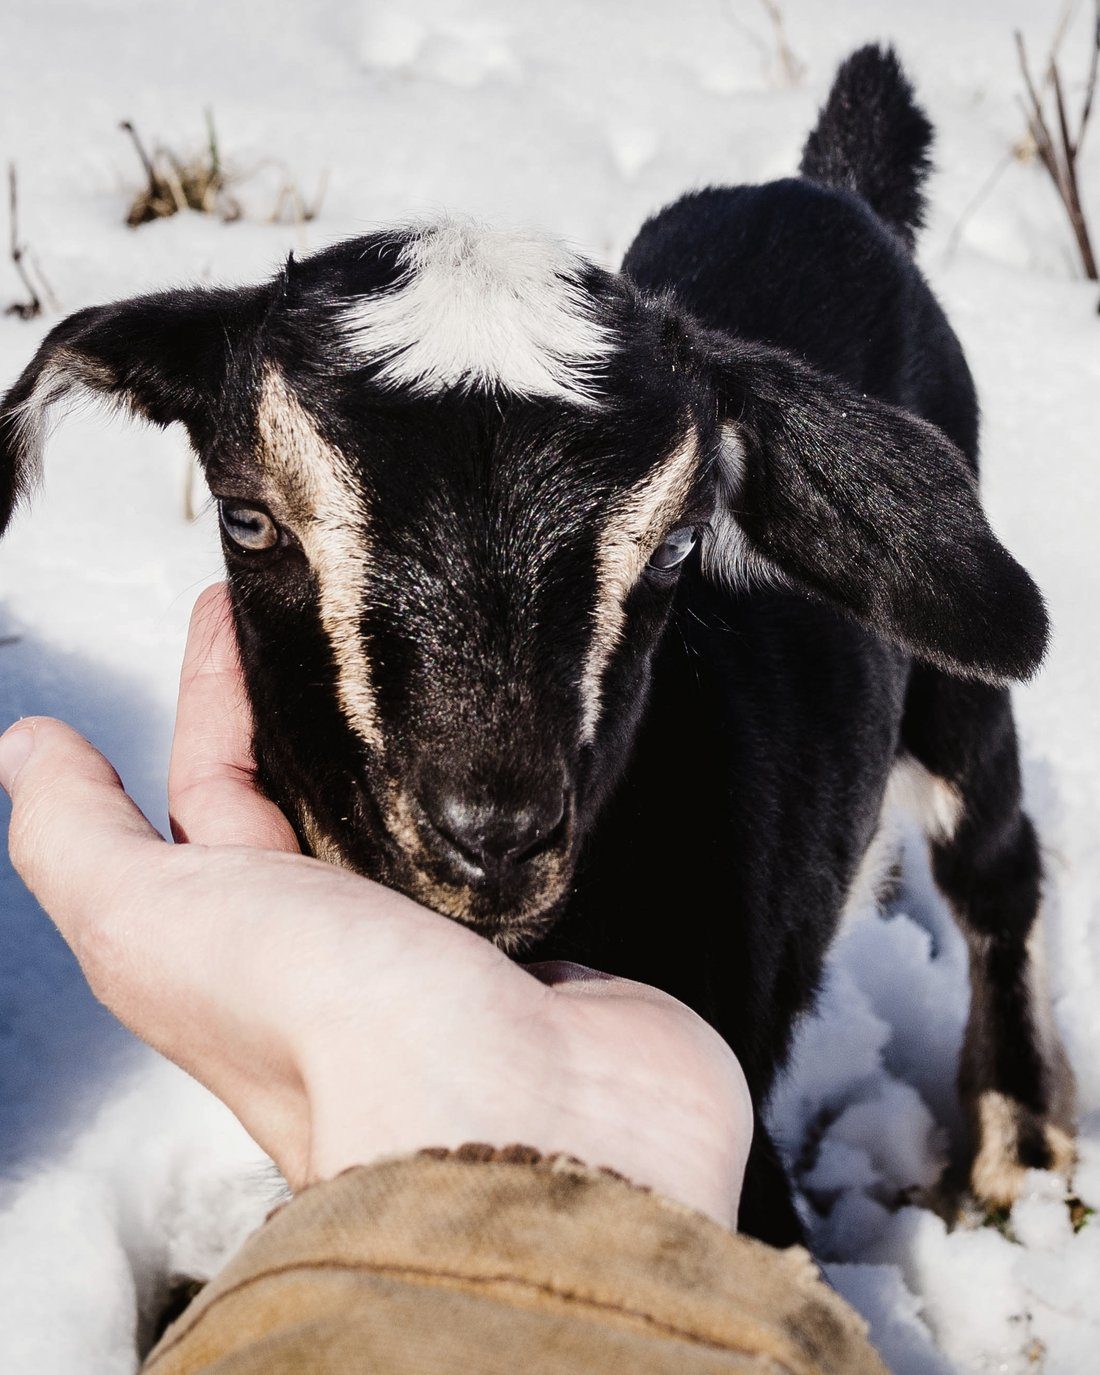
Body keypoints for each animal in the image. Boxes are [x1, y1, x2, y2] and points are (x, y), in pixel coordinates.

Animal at [0, 46, 1074, 1245]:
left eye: (680, 543)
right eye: (247, 517)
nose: (494, 834)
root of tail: (825, 186)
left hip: (952, 691)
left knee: (995, 859)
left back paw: (1019, 1149)